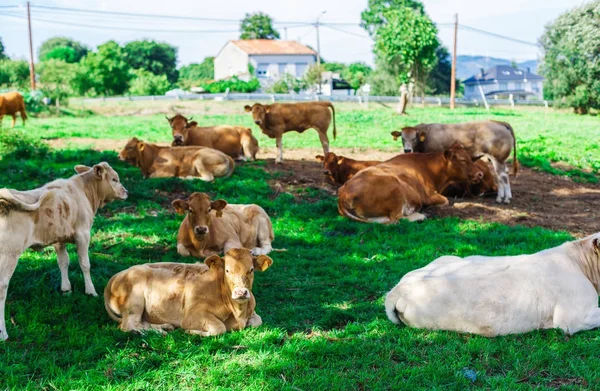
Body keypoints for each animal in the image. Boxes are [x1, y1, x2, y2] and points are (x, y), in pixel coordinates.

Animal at [0, 162, 127, 340]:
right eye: (115, 179)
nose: (126, 192)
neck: (84, 192)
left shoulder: (59, 238)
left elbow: (63, 262)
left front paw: (66, 289)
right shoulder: (83, 234)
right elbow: (85, 264)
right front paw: (91, 291)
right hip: (9, 255)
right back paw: (4, 333)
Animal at [104, 248, 274, 336]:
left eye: (251, 270)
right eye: (227, 270)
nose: (241, 293)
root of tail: (116, 276)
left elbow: (258, 321)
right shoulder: (192, 315)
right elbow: (219, 328)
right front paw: (192, 332)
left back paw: (164, 327)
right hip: (134, 303)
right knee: (129, 325)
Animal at [338, 144, 482, 224]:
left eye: (471, 158)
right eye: (462, 160)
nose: (480, 174)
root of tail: (344, 193)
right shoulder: (429, 195)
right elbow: (446, 200)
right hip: (395, 188)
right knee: (396, 219)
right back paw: (421, 216)